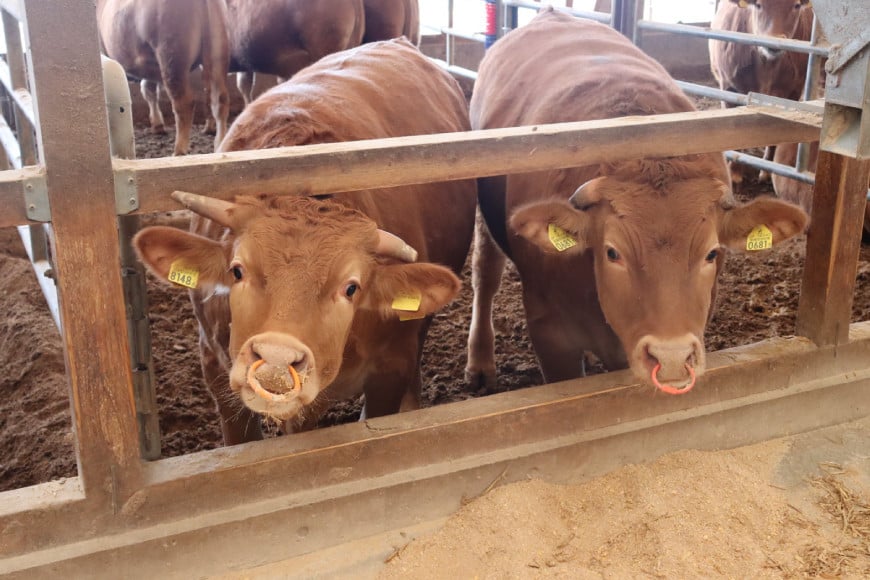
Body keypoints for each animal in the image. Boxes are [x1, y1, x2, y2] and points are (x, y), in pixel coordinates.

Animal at [97, 0, 230, 156]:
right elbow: (149, 90)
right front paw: (157, 125)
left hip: (170, 55)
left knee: (183, 102)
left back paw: (179, 150)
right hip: (218, 50)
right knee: (219, 98)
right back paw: (219, 143)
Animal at [466, 10, 808, 394]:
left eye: (711, 253)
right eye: (612, 252)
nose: (672, 357)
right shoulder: (550, 334)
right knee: (485, 274)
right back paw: (480, 363)